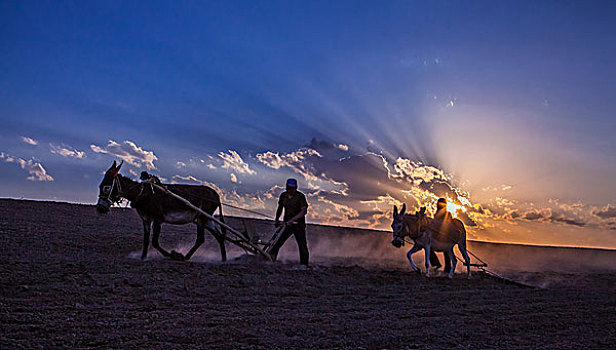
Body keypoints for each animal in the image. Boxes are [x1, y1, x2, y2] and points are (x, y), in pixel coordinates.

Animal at [92, 160, 225, 262]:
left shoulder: (158, 219)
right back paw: (223, 260)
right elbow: (146, 240)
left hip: (202, 219)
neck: (142, 193)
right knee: (219, 236)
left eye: (106, 188)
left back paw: (184, 257)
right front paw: (143, 257)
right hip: (206, 220)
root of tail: (216, 194)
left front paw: (170, 255)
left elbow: (155, 242)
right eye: (100, 186)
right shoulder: (146, 220)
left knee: (201, 239)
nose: (100, 208)